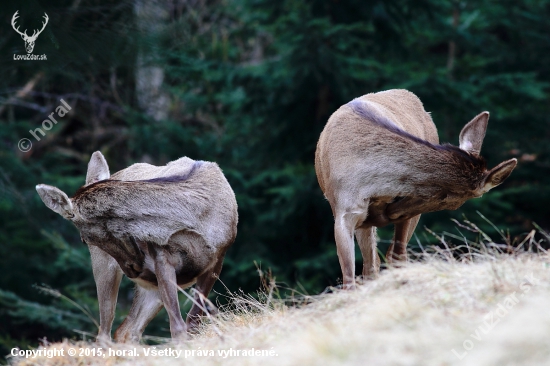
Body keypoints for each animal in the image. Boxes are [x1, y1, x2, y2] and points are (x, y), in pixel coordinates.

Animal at [35, 151, 238, 340]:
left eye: (85, 239)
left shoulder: (218, 258)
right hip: (107, 267)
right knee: (105, 332)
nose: (132, 269)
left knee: (127, 330)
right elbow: (177, 326)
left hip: (151, 285)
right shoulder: (161, 256)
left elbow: (193, 322)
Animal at [316, 89, 520, 288]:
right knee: (371, 264)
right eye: (448, 198)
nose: (383, 215)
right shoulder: (344, 211)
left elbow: (397, 256)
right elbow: (349, 277)